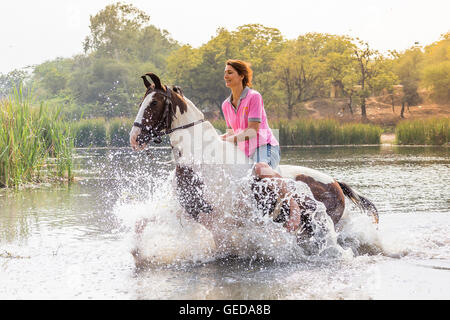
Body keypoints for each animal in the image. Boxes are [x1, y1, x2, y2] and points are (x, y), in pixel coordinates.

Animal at [130, 72, 380, 255]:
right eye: (142, 101)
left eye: (154, 102)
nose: (134, 138)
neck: (200, 161)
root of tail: (335, 183)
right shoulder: (187, 209)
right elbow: (142, 222)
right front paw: (135, 251)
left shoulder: (217, 217)